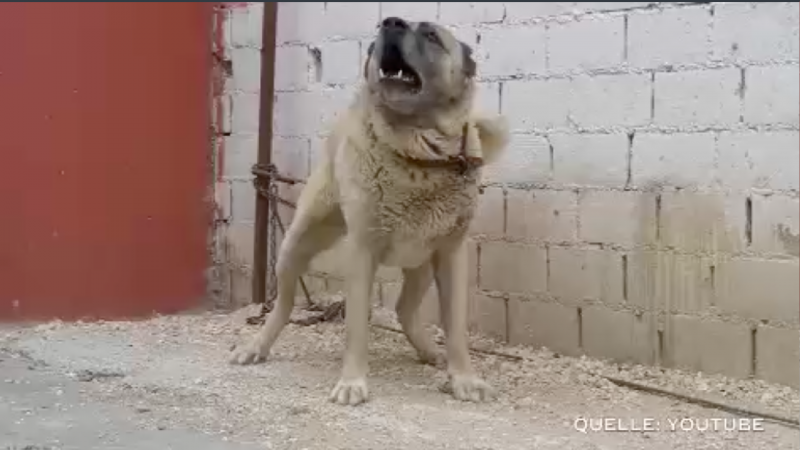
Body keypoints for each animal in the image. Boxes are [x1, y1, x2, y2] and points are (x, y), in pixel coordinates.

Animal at [228, 15, 510, 406]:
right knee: (283, 304)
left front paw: (463, 378)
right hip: (294, 245)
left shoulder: (451, 255)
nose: (390, 22)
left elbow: (456, 329)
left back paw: (429, 351)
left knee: (405, 308)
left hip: (421, 262)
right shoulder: (362, 253)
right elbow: (356, 328)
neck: (419, 154)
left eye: (431, 35)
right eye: (385, 30)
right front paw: (352, 382)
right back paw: (257, 346)